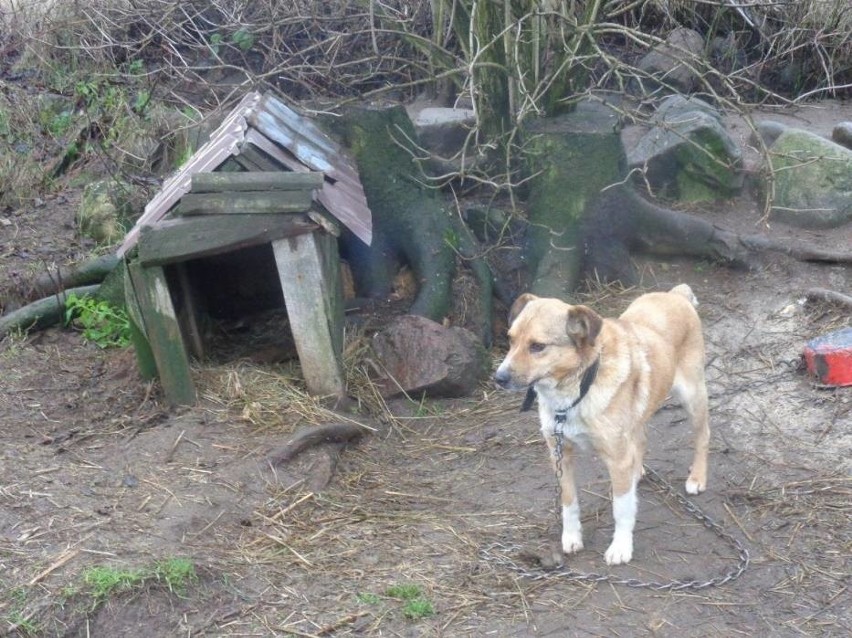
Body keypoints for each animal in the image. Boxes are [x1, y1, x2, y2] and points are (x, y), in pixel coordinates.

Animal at [496, 288, 708, 568]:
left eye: (537, 346)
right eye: (510, 340)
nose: (498, 378)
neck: (577, 389)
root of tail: (676, 293)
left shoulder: (617, 457)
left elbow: (621, 509)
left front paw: (621, 547)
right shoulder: (560, 454)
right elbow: (569, 501)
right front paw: (571, 536)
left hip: (692, 397)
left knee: (703, 436)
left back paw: (697, 477)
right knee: (641, 439)